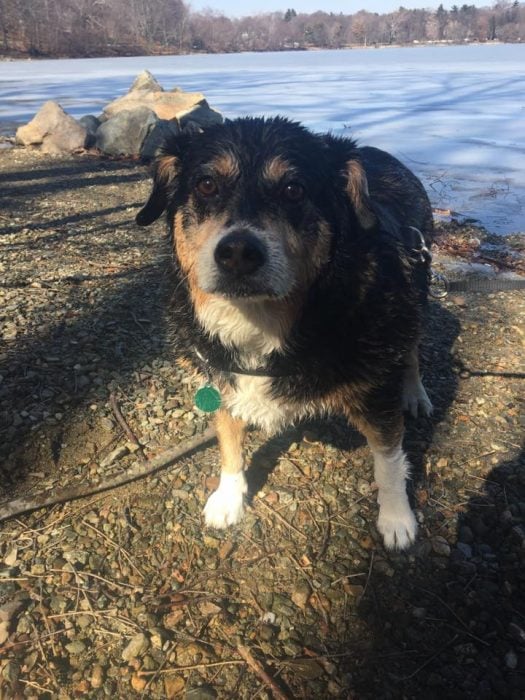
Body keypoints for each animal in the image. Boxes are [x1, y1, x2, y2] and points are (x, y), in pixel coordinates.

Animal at [136, 116, 434, 552]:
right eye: (206, 184)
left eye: (294, 189)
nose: (238, 253)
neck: (262, 324)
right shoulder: (222, 379)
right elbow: (229, 442)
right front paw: (228, 498)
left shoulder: (376, 392)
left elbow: (389, 460)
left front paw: (397, 518)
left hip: (415, 292)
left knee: (411, 353)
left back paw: (415, 393)